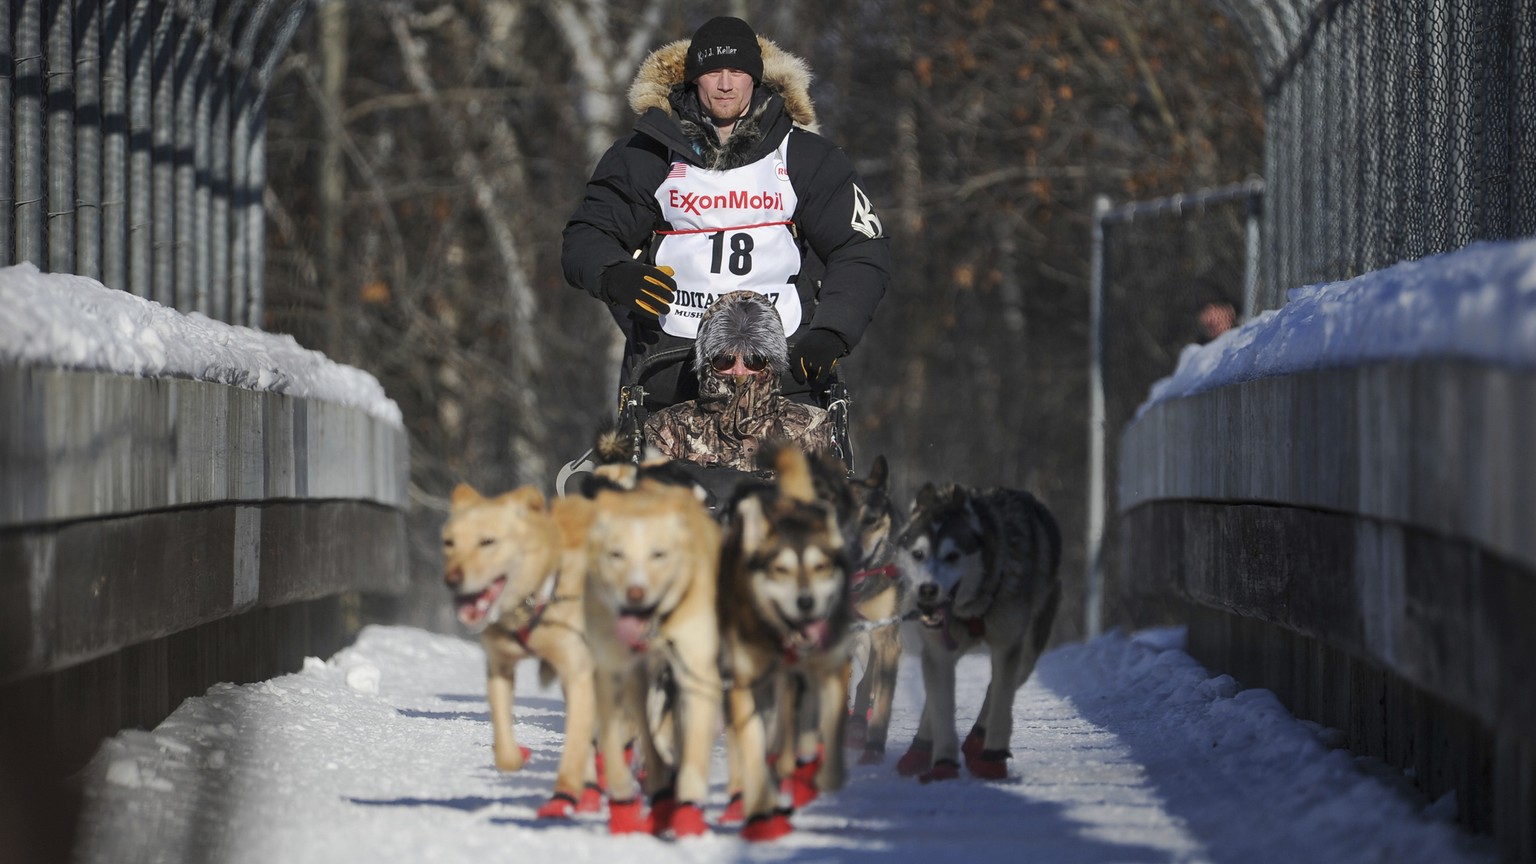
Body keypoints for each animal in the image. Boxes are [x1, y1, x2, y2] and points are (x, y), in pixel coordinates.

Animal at [442, 485, 595, 811]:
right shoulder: (499, 668)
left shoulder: (578, 675)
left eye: (487, 541)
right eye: (448, 542)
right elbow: (504, 744)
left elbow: (575, 743)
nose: (452, 580)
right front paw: (515, 756)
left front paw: (564, 793)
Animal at [580, 476, 718, 836]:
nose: (635, 592)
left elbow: (691, 751)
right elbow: (616, 746)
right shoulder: (613, 673)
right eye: (616, 554)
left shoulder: (695, 672)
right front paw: (625, 810)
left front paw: (687, 816)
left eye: (659, 554)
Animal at [715, 445, 860, 836]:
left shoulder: (821, 671)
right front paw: (759, 802)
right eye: (778, 569)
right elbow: (752, 744)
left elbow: (826, 726)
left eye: (822, 566)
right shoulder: (745, 683)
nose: (806, 602)